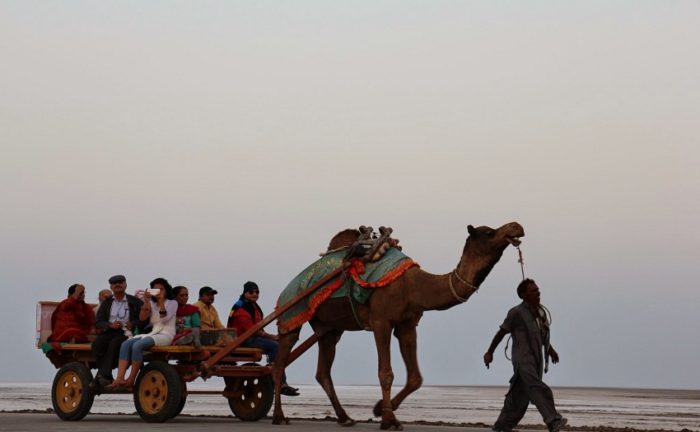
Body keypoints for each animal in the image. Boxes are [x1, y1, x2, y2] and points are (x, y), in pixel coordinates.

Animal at [270, 221, 524, 430]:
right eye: (489, 232)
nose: (516, 226)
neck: (414, 286)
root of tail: (285, 290)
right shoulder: (381, 321)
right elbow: (386, 373)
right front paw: (389, 420)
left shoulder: (407, 324)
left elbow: (416, 377)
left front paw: (378, 409)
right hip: (292, 313)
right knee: (279, 363)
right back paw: (279, 416)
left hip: (328, 327)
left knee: (323, 370)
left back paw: (345, 418)